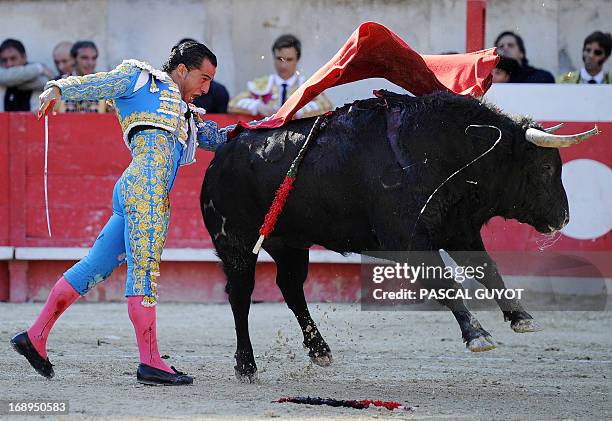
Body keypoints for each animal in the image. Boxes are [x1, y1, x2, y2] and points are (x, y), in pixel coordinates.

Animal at [201, 91, 568, 380]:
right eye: (545, 167)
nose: (564, 217)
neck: (444, 153)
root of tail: (221, 153)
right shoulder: (411, 240)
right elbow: (445, 283)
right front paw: (477, 334)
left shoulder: (459, 231)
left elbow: (488, 269)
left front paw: (521, 317)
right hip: (235, 242)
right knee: (240, 295)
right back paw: (246, 366)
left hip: (289, 242)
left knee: (290, 287)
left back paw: (320, 350)